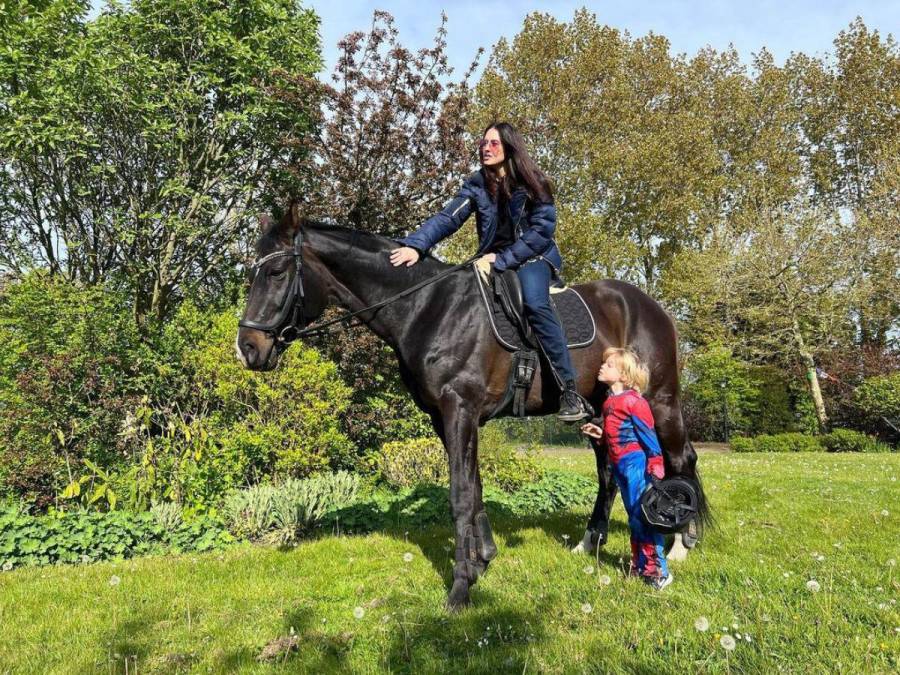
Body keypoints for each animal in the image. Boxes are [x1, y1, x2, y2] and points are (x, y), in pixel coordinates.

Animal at [236, 203, 708, 608]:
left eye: (276, 271)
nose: (247, 348)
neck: (427, 308)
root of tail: (651, 306)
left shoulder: (459, 409)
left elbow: (460, 494)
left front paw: (462, 585)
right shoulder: (444, 417)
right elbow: (474, 488)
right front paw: (483, 558)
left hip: (658, 399)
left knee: (681, 458)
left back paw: (682, 544)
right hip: (601, 406)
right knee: (609, 471)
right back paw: (589, 542)